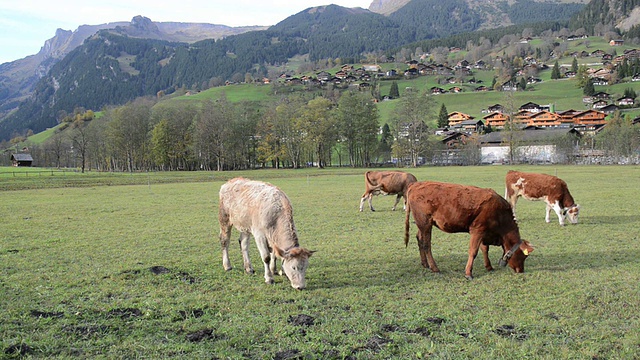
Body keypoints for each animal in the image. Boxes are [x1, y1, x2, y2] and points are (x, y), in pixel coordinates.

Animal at [404, 181, 536, 280]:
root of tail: (416, 184)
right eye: (523, 256)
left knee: (419, 239)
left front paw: (489, 267)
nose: (521, 270)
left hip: (422, 224)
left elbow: (484, 249)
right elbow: (473, 251)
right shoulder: (477, 230)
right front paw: (468, 273)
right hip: (425, 223)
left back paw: (425, 264)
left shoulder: (484, 232)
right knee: (426, 245)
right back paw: (434, 268)